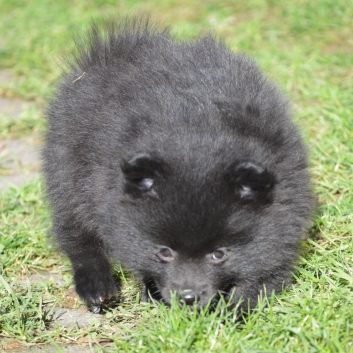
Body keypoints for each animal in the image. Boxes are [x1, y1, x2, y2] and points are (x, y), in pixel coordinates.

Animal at [42, 17, 312, 312]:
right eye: (164, 252)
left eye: (219, 254)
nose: (188, 297)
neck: (199, 134)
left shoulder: (284, 208)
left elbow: (266, 270)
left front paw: (233, 310)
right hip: (68, 167)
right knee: (74, 230)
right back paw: (96, 285)